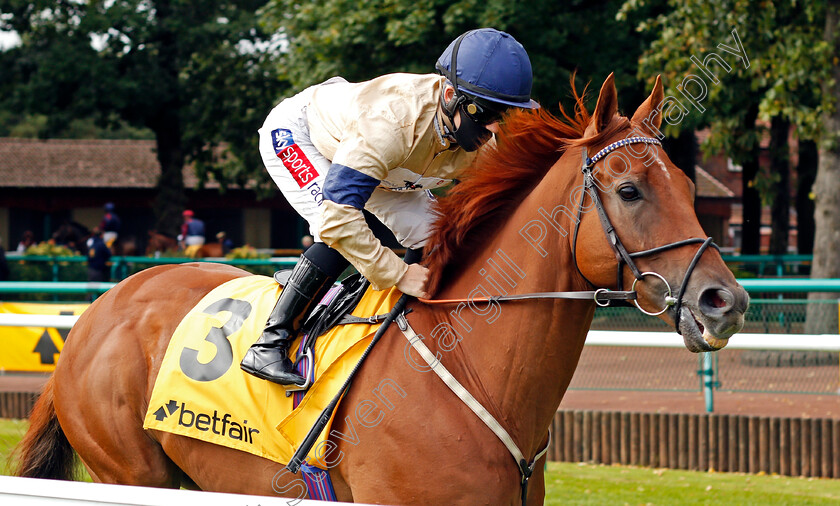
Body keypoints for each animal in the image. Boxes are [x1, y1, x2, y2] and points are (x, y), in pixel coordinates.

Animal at [14, 73, 748, 504]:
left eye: (688, 188)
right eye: (629, 191)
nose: (725, 302)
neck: (474, 370)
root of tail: (97, 312)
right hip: (131, 472)